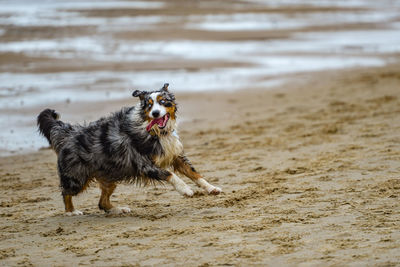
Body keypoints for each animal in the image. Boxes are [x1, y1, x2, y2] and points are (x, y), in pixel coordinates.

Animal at [36, 83, 222, 216]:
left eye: (163, 101)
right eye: (149, 105)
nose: (155, 113)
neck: (155, 132)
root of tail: (69, 133)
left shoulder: (175, 155)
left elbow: (195, 173)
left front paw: (211, 188)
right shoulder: (144, 164)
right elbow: (170, 174)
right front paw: (185, 190)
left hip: (109, 176)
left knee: (102, 203)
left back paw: (118, 210)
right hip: (77, 177)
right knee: (66, 192)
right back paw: (71, 212)